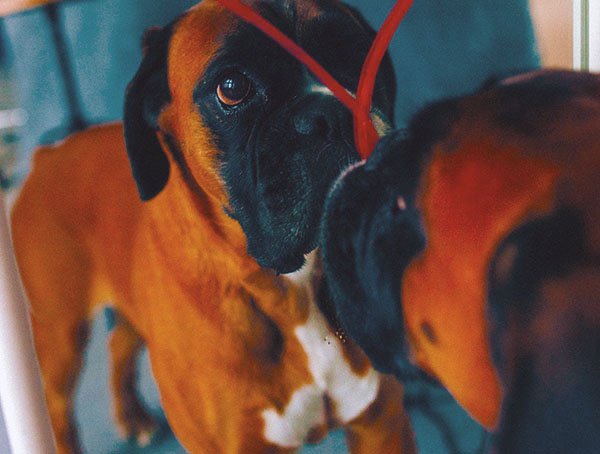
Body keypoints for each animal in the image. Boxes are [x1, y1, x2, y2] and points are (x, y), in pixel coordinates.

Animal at [10, 0, 418, 454]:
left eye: (357, 53)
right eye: (232, 87)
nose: (334, 114)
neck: (291, 290)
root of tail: (48, 154)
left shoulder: (382, 423)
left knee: (120, 343)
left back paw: (133, 414)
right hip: (59, 333)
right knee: (57, 407)